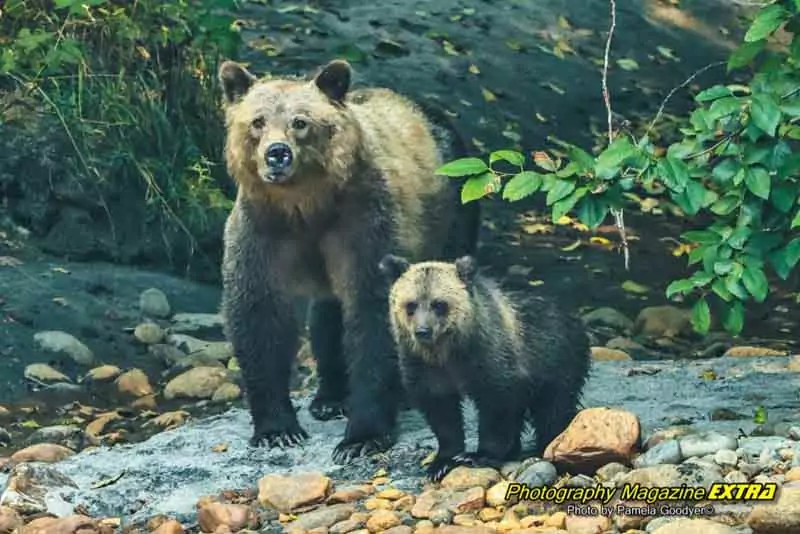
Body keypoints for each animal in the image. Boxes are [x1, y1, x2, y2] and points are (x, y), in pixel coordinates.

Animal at [219, 57, 478, 460]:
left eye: (300, 121)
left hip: (452, 213)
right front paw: (277, 429)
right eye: (257, 120)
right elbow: (258, 313)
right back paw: (329, 398)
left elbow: (375, 312)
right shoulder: (263, 230)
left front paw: (362, 435)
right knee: (327, 315)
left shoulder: (363, 224)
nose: (277, 153)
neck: (305, 206)